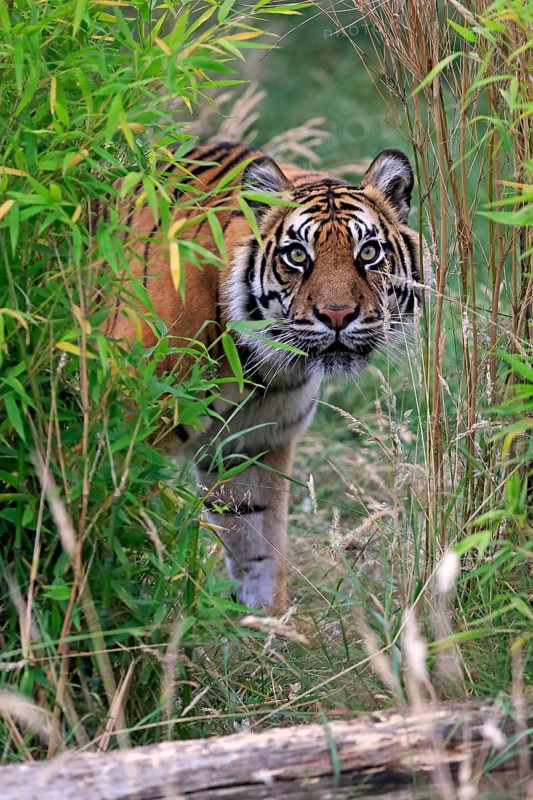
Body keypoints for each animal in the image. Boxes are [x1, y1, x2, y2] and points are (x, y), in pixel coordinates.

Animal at [103, 141, 428, 611]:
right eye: (297, 255)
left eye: (368, 252)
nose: (337, 315)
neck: (260, 364)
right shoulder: (124, 436)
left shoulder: (250, 444)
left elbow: (258, 552)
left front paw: (268, 625)